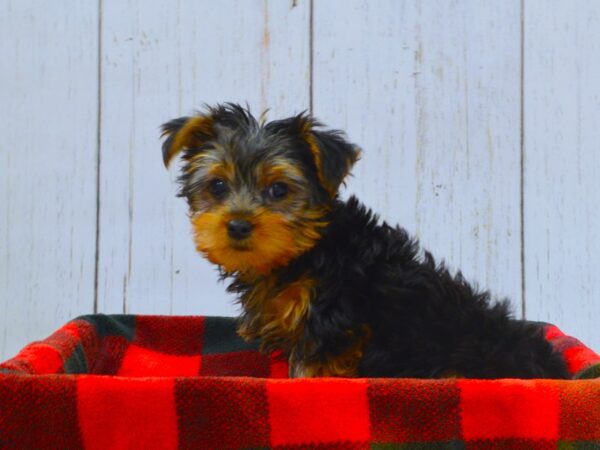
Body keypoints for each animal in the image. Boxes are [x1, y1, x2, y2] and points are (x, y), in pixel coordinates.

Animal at [159, 103, 568, 380]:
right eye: (217, 186)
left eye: (278, 190)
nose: (239, 225)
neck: (306, 252)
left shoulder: (334, 327)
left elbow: (310, 371)